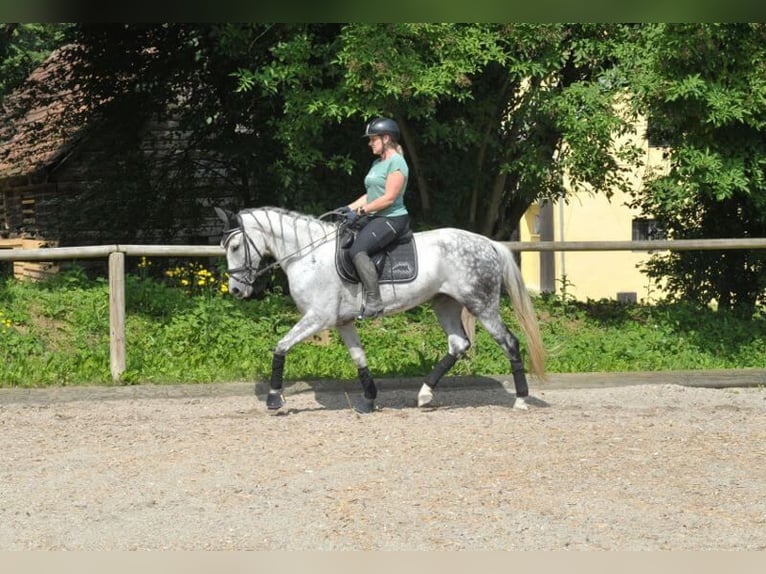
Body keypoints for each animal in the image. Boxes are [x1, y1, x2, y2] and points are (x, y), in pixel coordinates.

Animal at [216, 207, 544, 414]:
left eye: (235, 246)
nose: (236, 291)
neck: (308, 254)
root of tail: (487, 243)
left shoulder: (318, 318)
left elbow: (281, 346)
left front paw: (274, 399)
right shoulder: (342, 321)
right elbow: (359, 359)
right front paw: (369, 401)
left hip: (482, 305)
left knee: (509, 342)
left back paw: (521, 400)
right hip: (445, 303)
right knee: (458, 344)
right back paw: (424, 394)